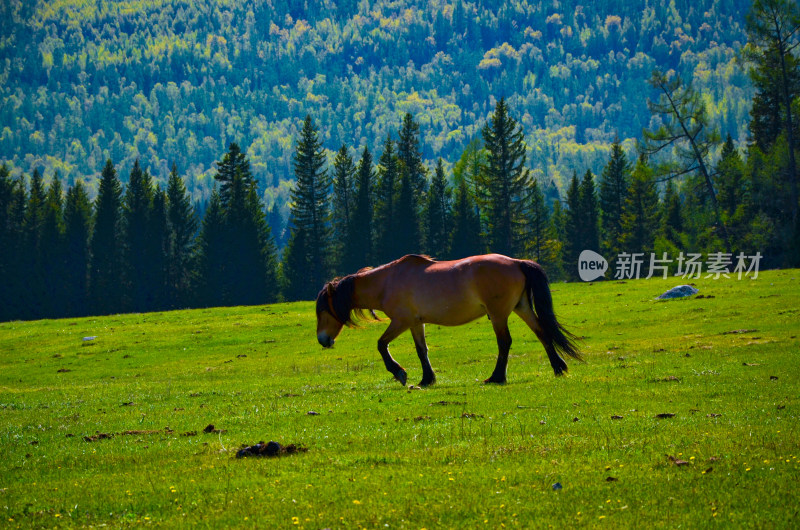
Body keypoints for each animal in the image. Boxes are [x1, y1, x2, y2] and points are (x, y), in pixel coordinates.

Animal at [314, 253, 580, 384]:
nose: (322, 340)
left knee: (505, 342)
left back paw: (496, 377)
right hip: (521, 307)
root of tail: (516, 262)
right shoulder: (416, 323)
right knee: (542, 332)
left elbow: (381, 344)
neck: (387, 282)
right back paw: (558, 368)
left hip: (498, 314)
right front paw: (427, 379)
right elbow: (422, 350)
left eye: (322, 311)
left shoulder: (401, 322)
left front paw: (399, 373)